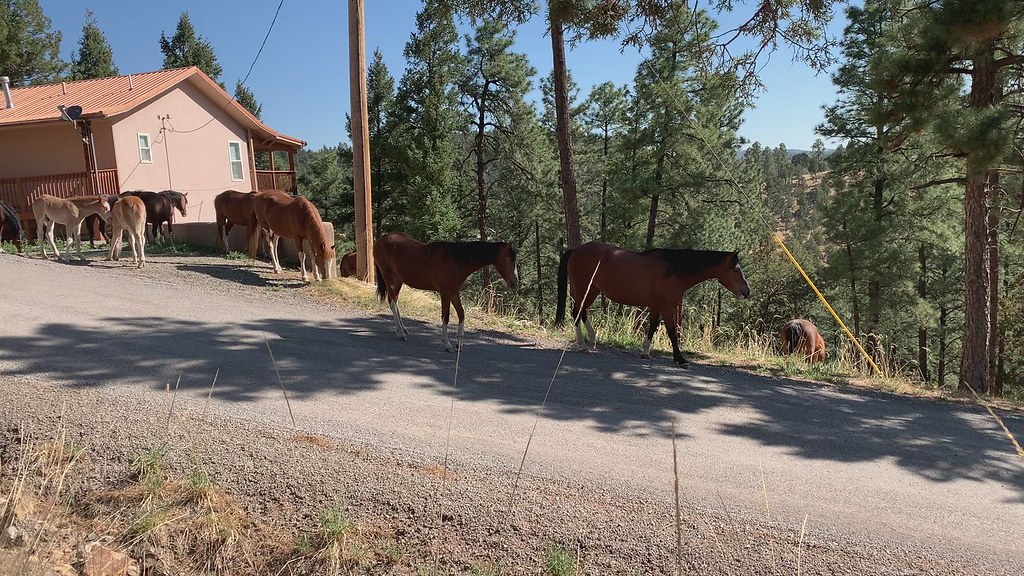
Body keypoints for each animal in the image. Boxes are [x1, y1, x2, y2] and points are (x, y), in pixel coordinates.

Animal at [373, 232, 519, 352]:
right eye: (511, 259)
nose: (515, 282)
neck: (456, 261)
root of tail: (381, 239)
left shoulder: (454, 292)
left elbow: (461, 314)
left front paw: (459, 344)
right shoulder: (445, 293)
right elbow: (446, 316)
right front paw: (447, 344)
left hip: (399, 279)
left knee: (395, 301)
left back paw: (402, 330)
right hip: (388, 276)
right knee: (392, 301)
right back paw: (402, 333)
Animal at [554, 241, 751, 366]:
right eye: (736, 269)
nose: (747, 292)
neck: (674, 270)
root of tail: (575, 250)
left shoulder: (656, 306)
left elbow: (652, 327)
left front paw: (645, 352)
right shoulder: (667, 307)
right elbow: (672, 332)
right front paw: (680, 359)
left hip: (592, 290)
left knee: (582, 312)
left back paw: (592, 340)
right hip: (584, 289)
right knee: (577, 312)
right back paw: (583, 345)